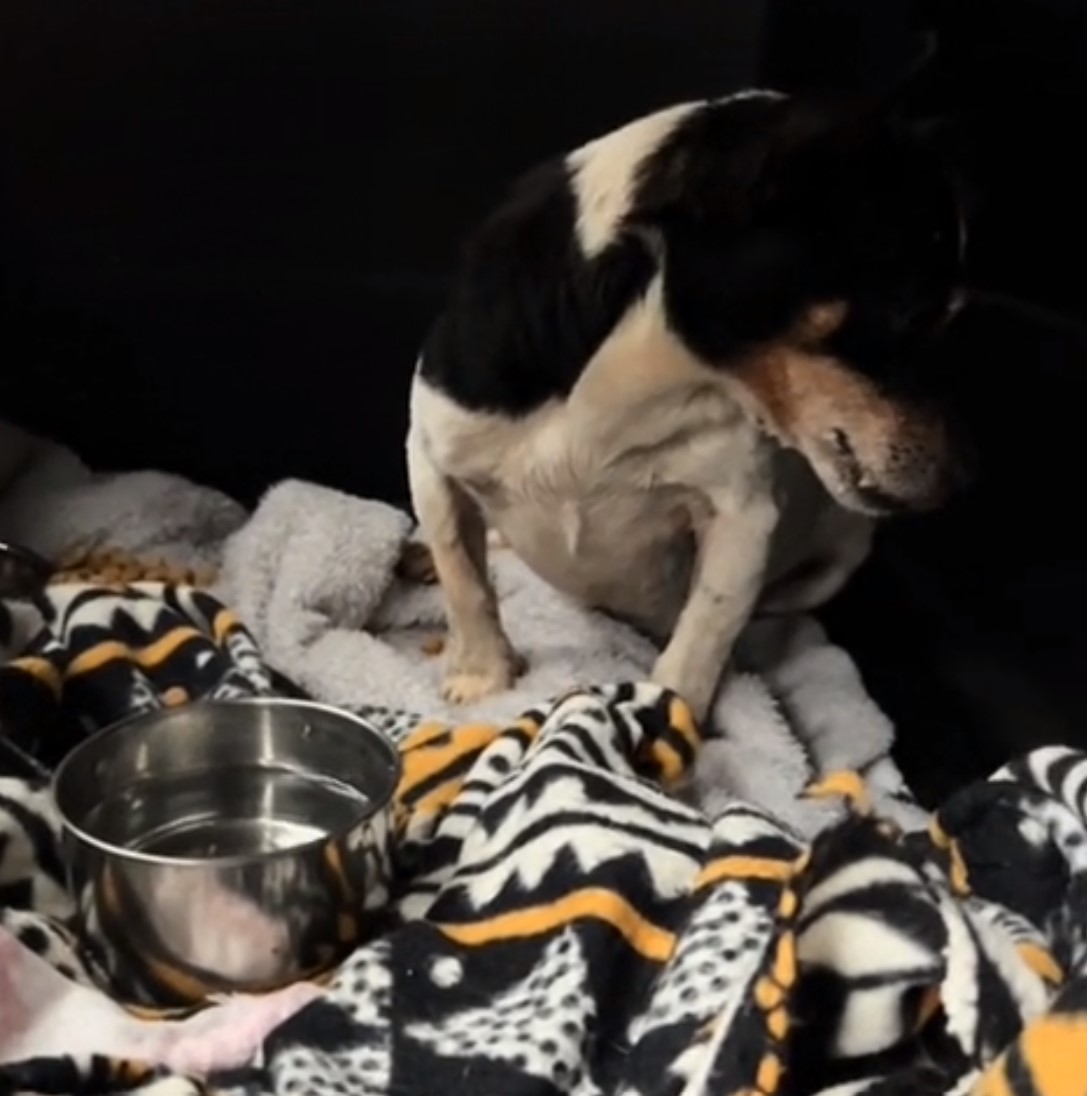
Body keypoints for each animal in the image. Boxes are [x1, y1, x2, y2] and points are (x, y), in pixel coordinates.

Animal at [405, 92, 968, 718]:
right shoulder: (431, 460)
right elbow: (465, 580)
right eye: (917, 316)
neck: (644, 369)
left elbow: (700, 638)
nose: (953, 483)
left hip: (843, 552)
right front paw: (484, 678)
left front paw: (662, 723)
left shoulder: (742, 517)